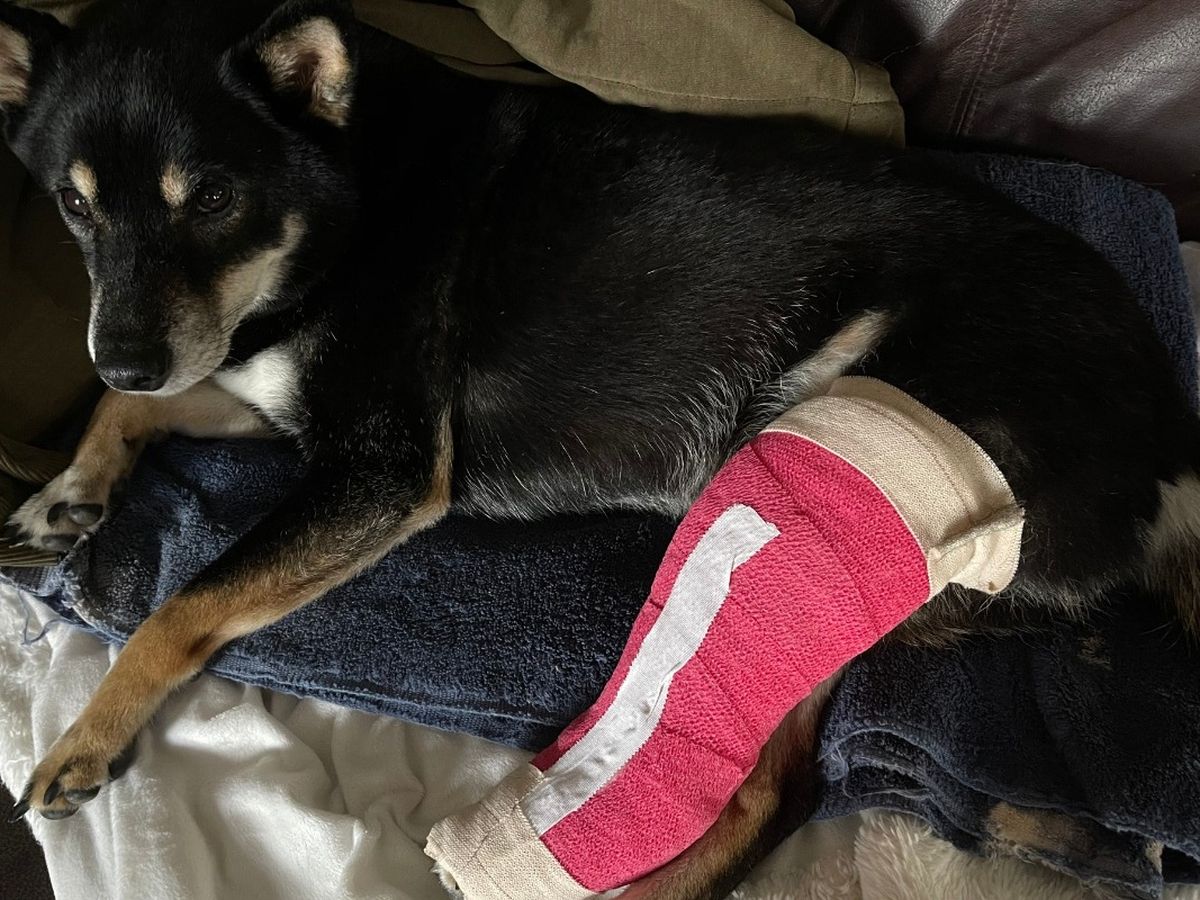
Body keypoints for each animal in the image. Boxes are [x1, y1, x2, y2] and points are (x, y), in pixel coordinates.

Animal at [2, 0, 1199, 896]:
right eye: (71, 205)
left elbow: (181, 605)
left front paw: (84, 740)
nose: (122, 355)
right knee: (787, 788)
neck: (348, 192)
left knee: (764, 783)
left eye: (210, 198)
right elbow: (134, 416)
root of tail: (1163, 443)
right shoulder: (282, 406)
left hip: (822, 469)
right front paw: (67, 494)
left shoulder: (383, 466)